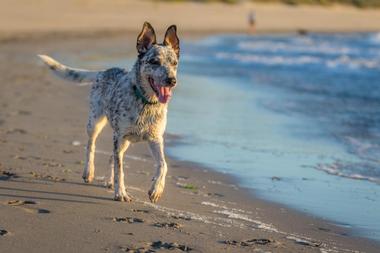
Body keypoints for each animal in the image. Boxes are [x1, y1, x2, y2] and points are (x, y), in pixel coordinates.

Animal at [38, 22, 180, 203]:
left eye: (174, 63)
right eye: (154, 61)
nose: (172, 81)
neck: (145, 102)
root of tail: (103, 71)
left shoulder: (155, 139)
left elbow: (163, 165)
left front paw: (156, 189)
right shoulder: (119, 136)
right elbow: (120, 170)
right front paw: (121, 193)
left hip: (124, 141)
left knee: (112, 156)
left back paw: (109, 181)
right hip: (95, 123)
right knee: (91, 145)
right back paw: (89, 172)